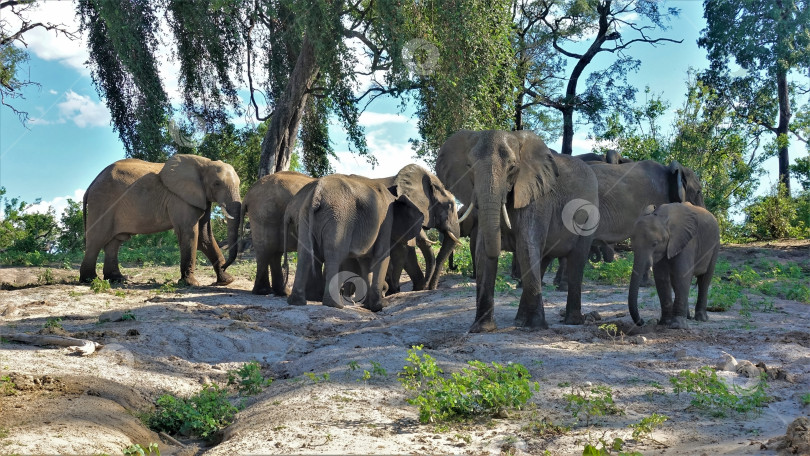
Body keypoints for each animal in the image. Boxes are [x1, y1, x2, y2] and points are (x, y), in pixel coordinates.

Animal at [80, 155, 241, 286]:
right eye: (217, 183)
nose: (225, 265)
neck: (205, 163)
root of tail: (91, 184)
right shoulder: (179, 199)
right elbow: (190, 233)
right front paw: (191, 284)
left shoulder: (201, 198)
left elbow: (205, 236)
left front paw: (227, 281)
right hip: (102, 201)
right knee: (97, 239)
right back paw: (90, 280)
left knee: (114, 242)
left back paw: (117, 279)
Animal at [288, 173, 430, 312]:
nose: (392, 289)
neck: (394, 198)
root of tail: (317, 193)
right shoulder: (386, 219)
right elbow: (382, 255)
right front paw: (379, 306)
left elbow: (365, 262)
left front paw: (367, 306)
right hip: (338, 217)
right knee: (334, 255)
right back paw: (335, 305)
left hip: (306, 215)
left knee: (305, 254)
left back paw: (297, 302)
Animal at [436, 128, 600, 332]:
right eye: (469, 166)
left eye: (512, 167)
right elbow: (483, 252)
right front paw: (483, 329)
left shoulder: (536, 197)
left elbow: (525, 246)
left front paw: (537, 327)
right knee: (542, 260)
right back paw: (520, 322)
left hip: (590, 215)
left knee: (576, 260)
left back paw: (571, 321)